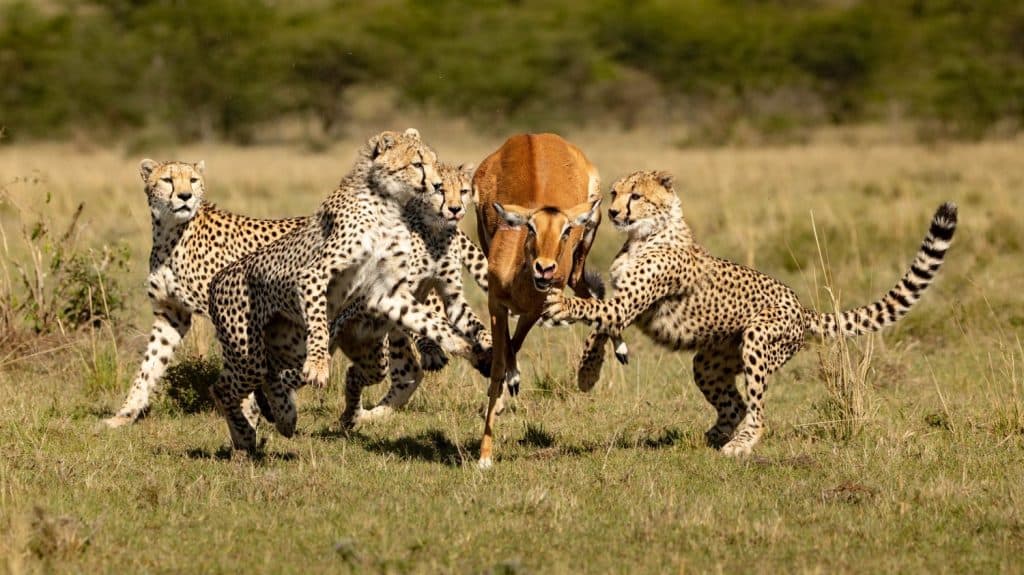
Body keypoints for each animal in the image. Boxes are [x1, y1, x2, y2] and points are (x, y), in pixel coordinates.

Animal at [207, 129, 486, 452]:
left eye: (434, 163)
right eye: (417, 164)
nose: (438, 187)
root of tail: (217, 279)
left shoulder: (388, 291)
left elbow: (432, 320)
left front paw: (466, 345)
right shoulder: (314, 275)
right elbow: (318, 321)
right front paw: (318, 367)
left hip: (292, 348)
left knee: (271, 377)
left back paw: (283, 419)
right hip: (252, 353)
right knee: (225, 387)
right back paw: (247, 434)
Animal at [543, 170, 958, 457]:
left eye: (637, 196)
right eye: (614, 193)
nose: (613, 211)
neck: (646, 234)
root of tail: (802, 306)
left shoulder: (627, 304)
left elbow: (593, 310)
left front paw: (560, 305)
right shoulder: (625, 306)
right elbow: (598, 329)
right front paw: (587, 372)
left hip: (759, 340)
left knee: (757, 412)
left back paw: (740, 445)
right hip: (710, 362)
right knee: (737, 404)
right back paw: (715, 434)